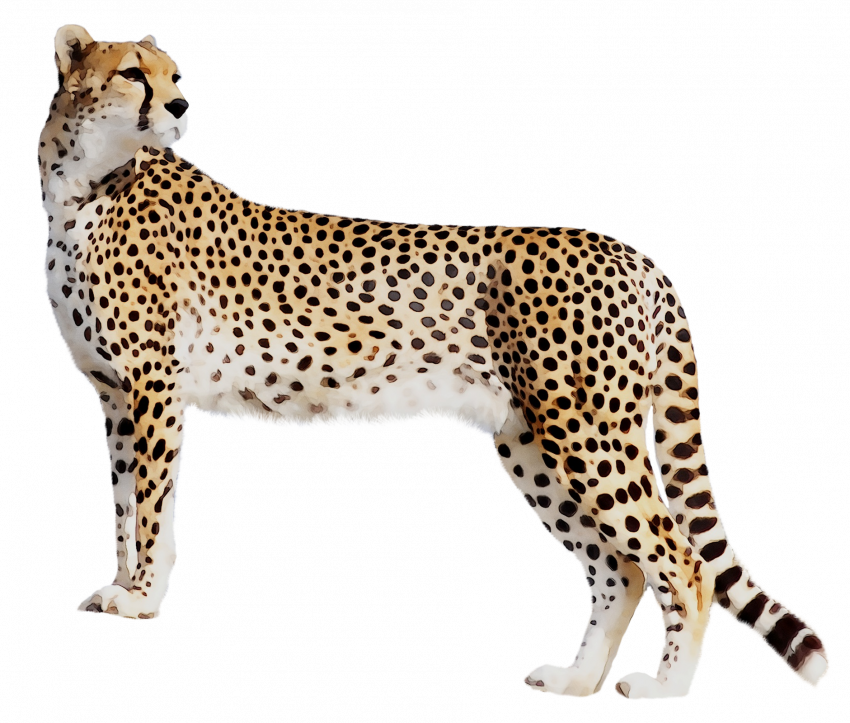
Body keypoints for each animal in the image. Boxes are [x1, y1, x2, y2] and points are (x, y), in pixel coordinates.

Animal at [37, 24, 832, 700]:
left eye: (174, 75)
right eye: (133, 72)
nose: (179, 105)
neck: (82, 181)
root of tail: (627, 248)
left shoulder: (151, 385)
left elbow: (148, 506)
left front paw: (143, 597)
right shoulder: (115, 393)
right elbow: (126, 503)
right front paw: (124, 589)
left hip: (587, 433)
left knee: (684, 562)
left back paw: (665, 688)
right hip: (530, 441)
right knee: (624, 569)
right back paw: (578, 679)